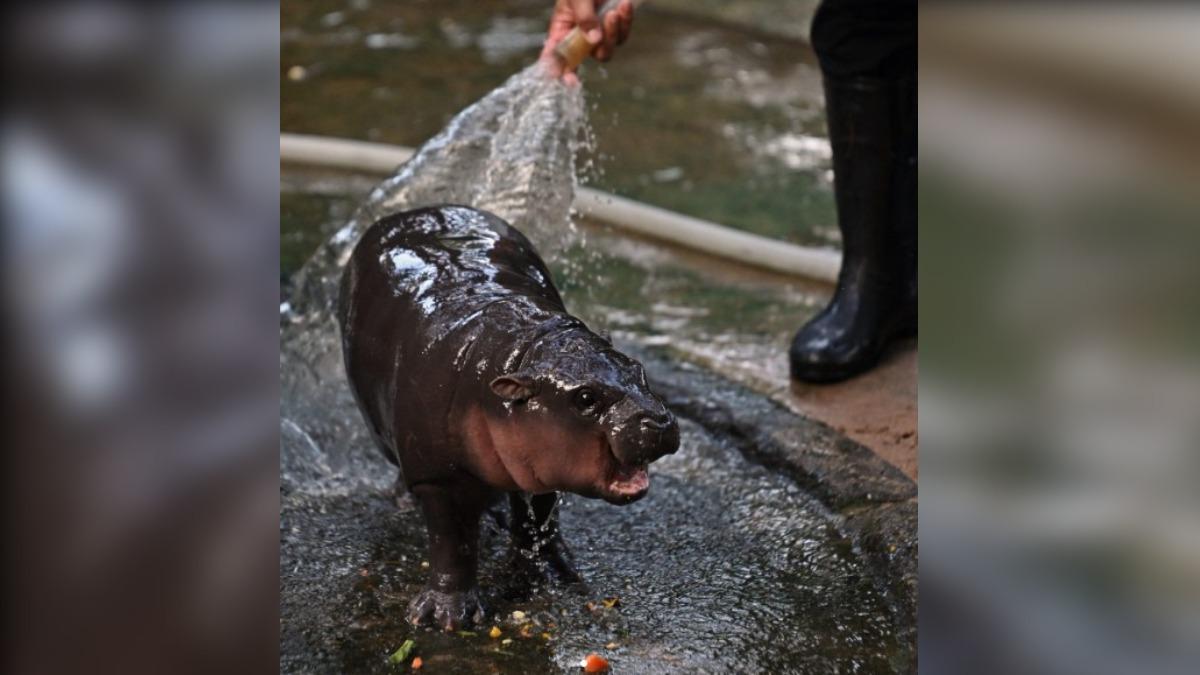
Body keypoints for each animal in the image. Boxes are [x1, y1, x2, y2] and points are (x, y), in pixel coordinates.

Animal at [338, 201, 681, 629]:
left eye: (638, 368)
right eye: (585, 398)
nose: (659, 421)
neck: (521, 351)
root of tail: (416, 210)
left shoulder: (543, 461)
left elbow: (541, 517)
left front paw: (553, 574)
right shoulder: (438, 476)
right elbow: (452, 541)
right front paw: (447, 617)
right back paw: (408, 503)